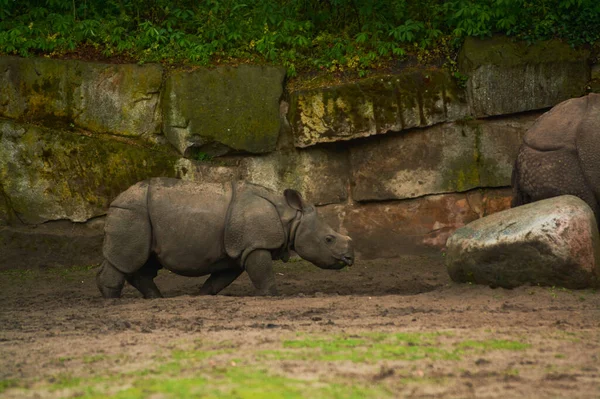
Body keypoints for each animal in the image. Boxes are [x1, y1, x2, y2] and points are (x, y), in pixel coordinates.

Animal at [96, 180, 354, 298]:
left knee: (144, 262)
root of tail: (114, 200)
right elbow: (264, 275)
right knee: (128, 259)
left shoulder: (238, 250)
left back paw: (156, 299)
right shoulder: (255, 245)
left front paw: (201, 296)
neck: (290, 218)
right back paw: (113, 300)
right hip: (133, 213)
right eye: (329, 239)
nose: (350, 258)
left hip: (140, 216)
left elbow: (218, 280)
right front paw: (273, 296)